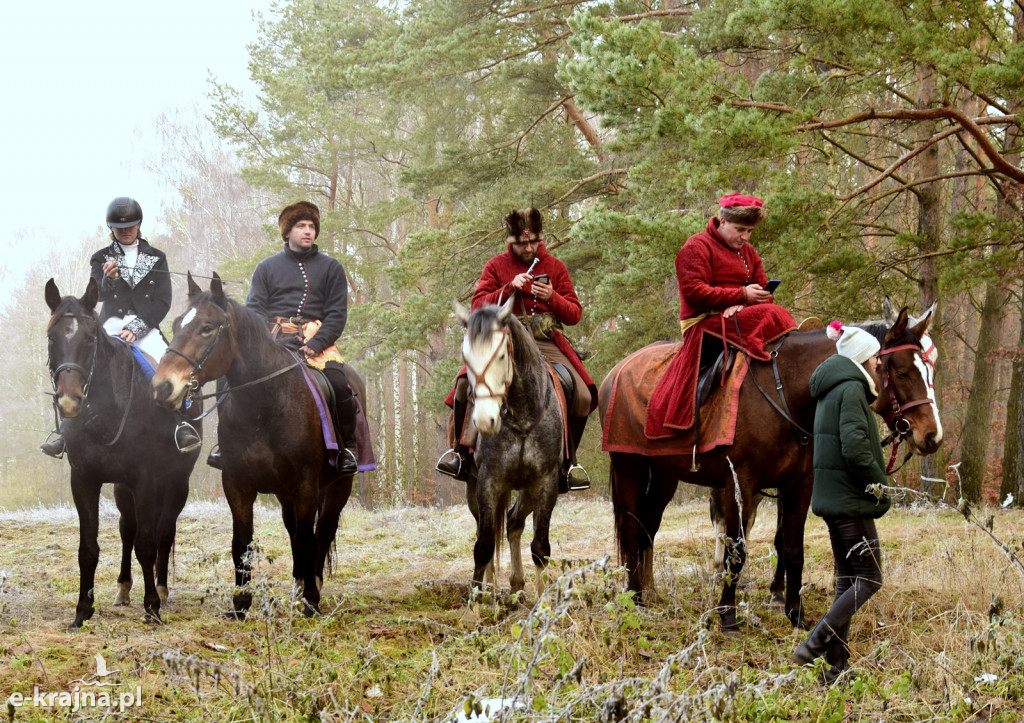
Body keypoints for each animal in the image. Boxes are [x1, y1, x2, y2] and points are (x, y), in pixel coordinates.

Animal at [44, 278, 199, 626]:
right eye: (51, 337)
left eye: (90, 339)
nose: (69, 401)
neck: (107, 412)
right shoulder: (85, 480)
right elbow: (89, 548)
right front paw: (82, 611)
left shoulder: (146, 480)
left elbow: (148, 544)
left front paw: (152, 607)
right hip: (122, 488)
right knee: (128, 529)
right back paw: (124, 589)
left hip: (176, 483)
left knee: (163, 532)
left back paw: (161, 591)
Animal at [149, 272, 362, 618]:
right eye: (178, 323)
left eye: (207, 327)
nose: (162, 387)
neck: (265, 404)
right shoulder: (237, 484)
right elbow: (242, 543)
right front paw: (241, 603)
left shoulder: (306, 485)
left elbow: (309, 540)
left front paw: (310, 601)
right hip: (286, 495)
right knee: (295, 533)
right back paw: (298, 586)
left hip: (338, 486)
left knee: (322, 533)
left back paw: (311, 587)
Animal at [598, 301, 942, 626]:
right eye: (902, 371)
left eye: (931, 371)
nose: (932, 435)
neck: (787, 390)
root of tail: (616, 372)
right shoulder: (741, 483)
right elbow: (736, 550)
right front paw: (728, 614)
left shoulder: (798, 485)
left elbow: (791, 548)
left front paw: (794, 612)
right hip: (629, 466)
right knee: (631, 526)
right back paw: (635, 596)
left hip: (665, 474)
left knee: (648, 525)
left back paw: (649, 589)